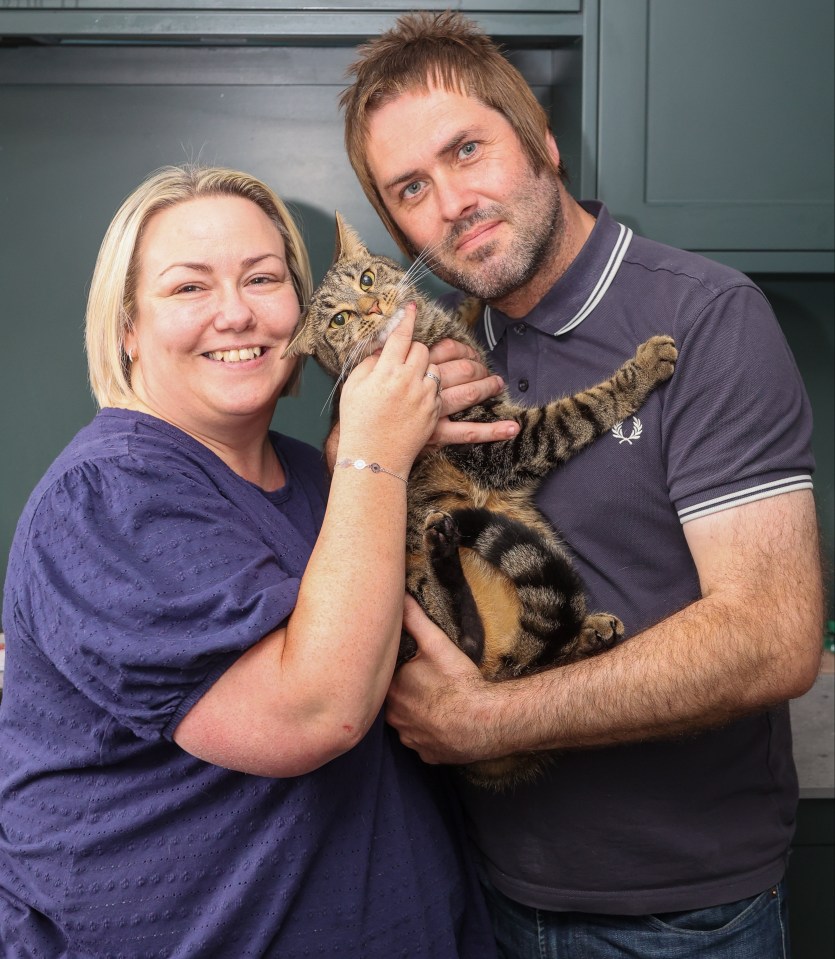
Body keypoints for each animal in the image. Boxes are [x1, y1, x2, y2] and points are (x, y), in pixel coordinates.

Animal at [284, 214, 676, 792]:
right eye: (339, 319)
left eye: (367, 279)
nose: (372, 307)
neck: (425, 340)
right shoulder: (502, 444)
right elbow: (581, 409)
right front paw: (645, 365)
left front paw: (464, 306)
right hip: (423, 596)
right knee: (474, 647)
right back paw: (450, 557)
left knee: (536, 661)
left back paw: (587, 633)